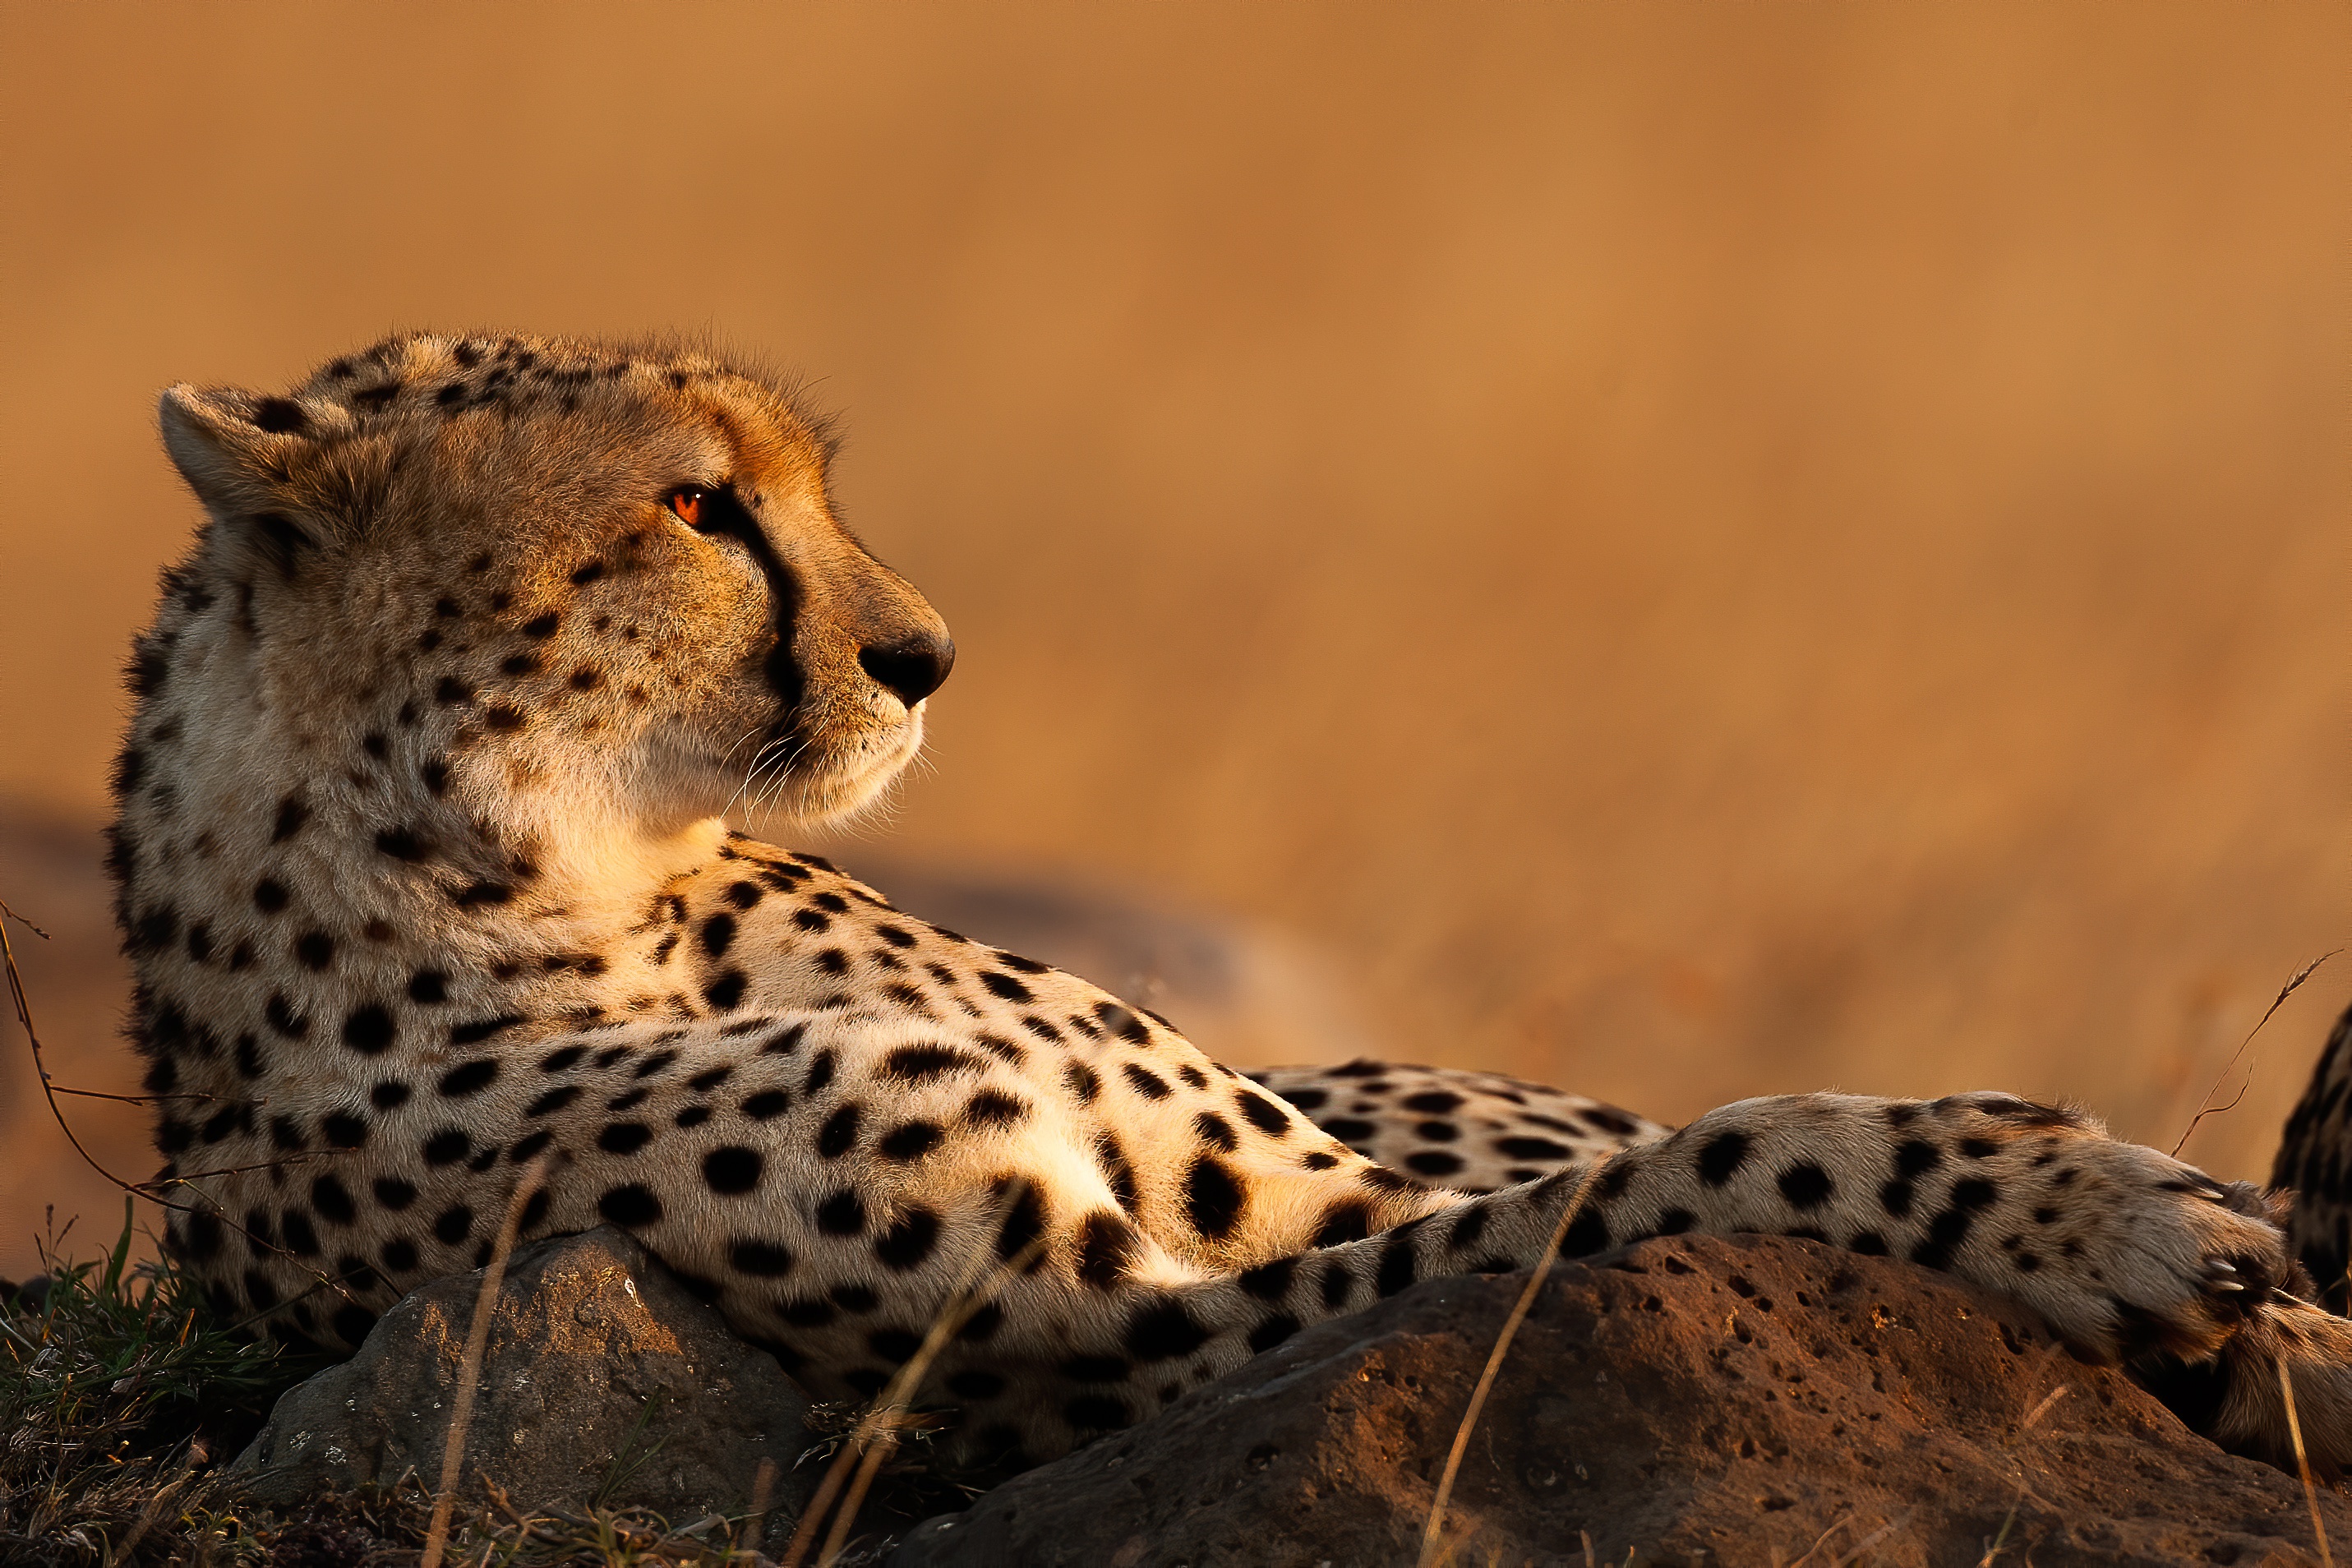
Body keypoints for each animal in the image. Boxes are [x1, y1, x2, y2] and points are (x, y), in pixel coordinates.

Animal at [105, 329, 2352, 1476]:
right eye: (692, 505)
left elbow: (1681, 1149)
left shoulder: (1308, 1182)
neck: (582, 888)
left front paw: (2205, 1271)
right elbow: (1702, 1169)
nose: (925, 656)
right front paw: (2094, 1218)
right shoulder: (1145, 1319)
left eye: (800, 485)